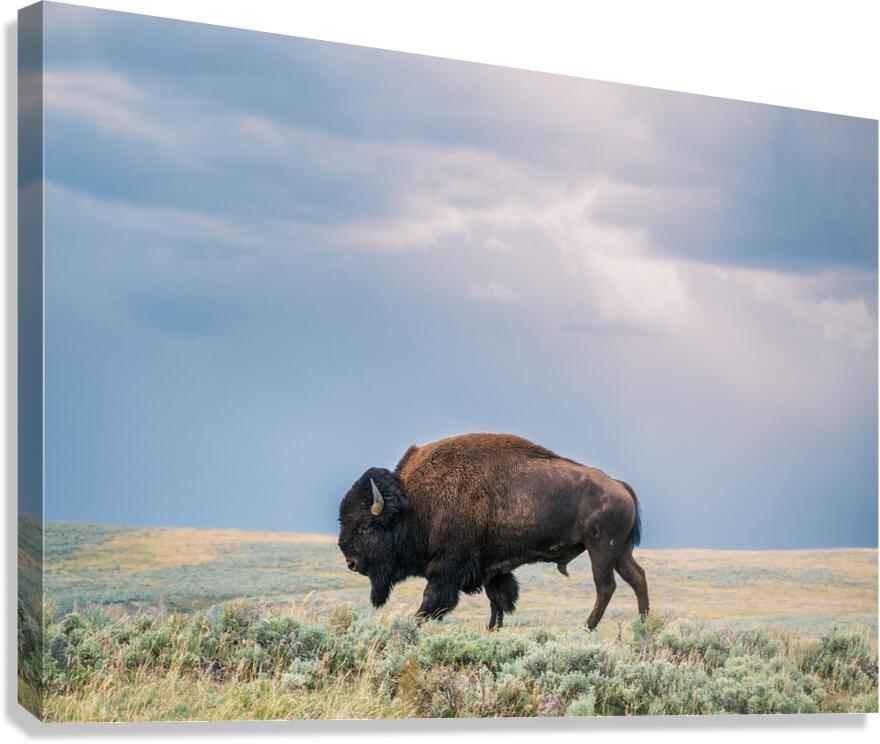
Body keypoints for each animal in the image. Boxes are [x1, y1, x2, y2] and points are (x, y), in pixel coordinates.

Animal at [337, 433, 649, 630]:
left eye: (366, 526)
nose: (351, 562)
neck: (414, 503)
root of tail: (620, 486)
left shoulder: (447, 567)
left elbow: (432, 599)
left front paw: (413, 624)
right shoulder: (493, 568)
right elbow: (498, 601)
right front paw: (492, 630)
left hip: (601, 549)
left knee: (606, 587)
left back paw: (587, 628)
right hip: (620, 551)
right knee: (637, 578)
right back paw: (644, 624)